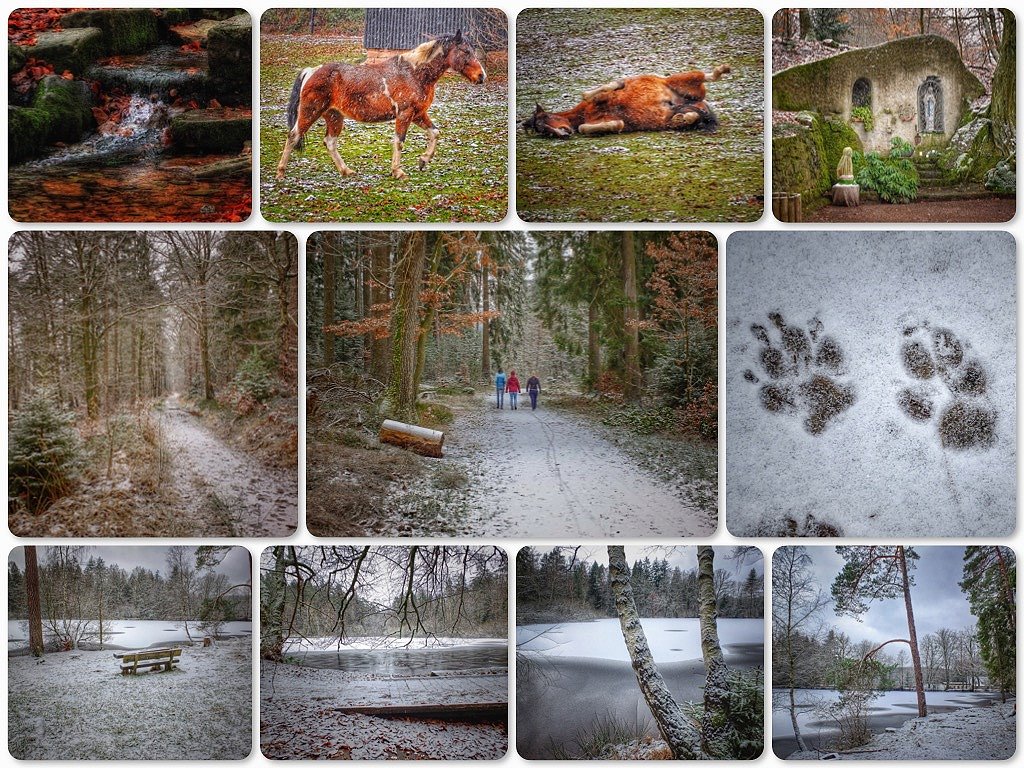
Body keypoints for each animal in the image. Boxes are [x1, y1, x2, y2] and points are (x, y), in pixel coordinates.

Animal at [274, 31, 485, 180]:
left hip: (334, 116)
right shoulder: (405, 114)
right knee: (293, 136)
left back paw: (346, 171)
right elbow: (399, 141)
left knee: (330, 142)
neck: (414, 73)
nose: (481, 76)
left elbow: (435, 133)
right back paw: (281, 172)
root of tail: (311, 71)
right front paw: (398, 171)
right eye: (466, 51)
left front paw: (423, 161)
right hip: (310, 111)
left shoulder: (418, 114)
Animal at [524, 65, 733, 137]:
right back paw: (683, 118)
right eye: (542, 130)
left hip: (680, 81)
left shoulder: (601, 98)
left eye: (545, 118)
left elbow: (594, 92)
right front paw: (616, 125)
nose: (563, 134)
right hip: (688, 106)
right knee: (693, 116)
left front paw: (618, 84)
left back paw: (722, 69)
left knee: (704, 76)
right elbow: (587, 128)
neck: (582, 113)